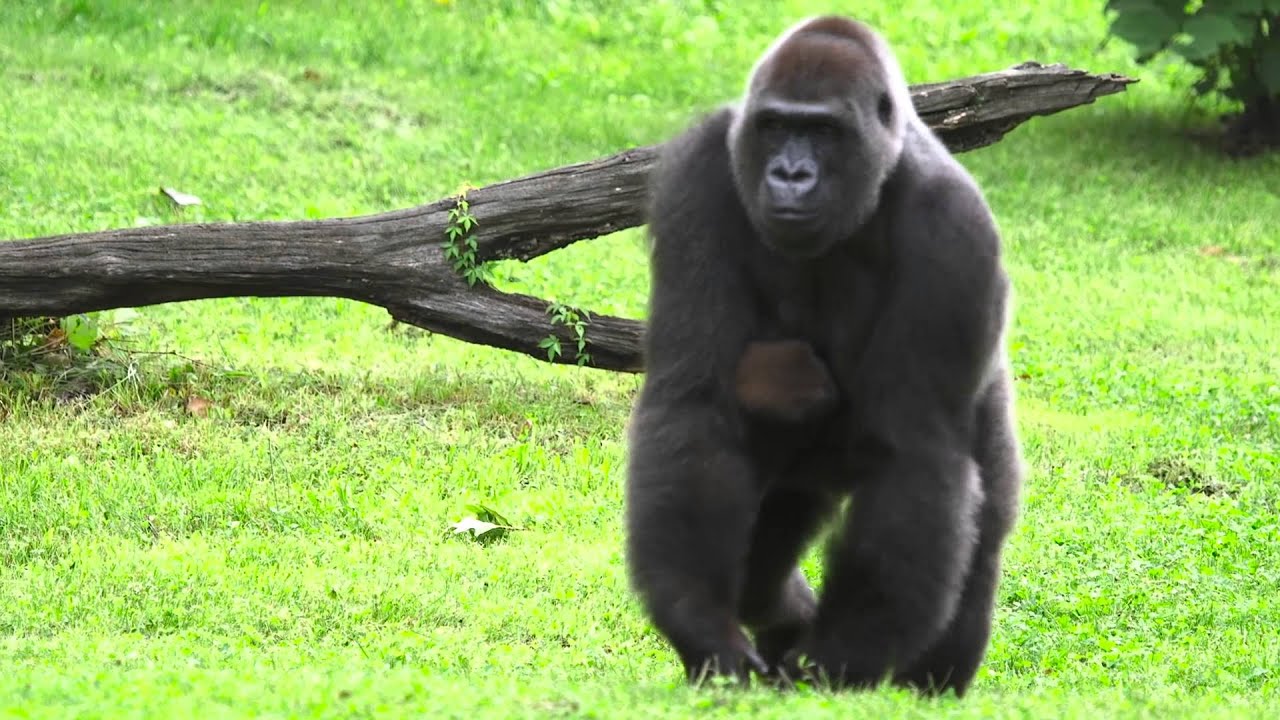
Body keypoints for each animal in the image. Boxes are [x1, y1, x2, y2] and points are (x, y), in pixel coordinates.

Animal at [624, 15, 1024, 697]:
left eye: (825, 131)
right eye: (776, 126)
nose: (790, 174)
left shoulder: (953, 229)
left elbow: (913, 454)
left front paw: (838, 659)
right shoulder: (698, 174)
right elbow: (694, 406)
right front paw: (703, 628)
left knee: (980, 527)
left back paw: (929, 682)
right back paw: (785, 611)